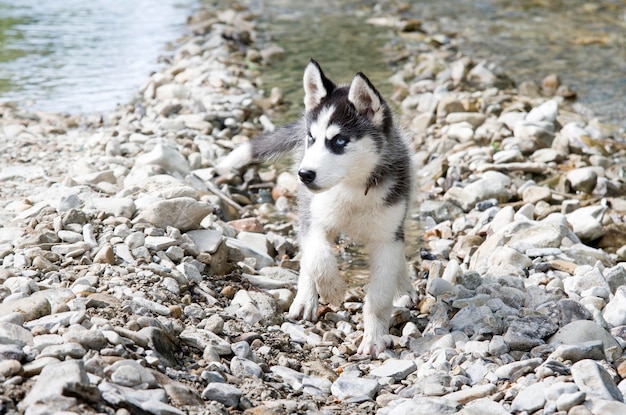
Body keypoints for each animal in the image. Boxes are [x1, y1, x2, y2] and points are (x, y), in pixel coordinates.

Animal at [219, 59, 414, 358]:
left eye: (339, 141)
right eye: (311, 138)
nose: (305, 175)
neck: (352, 189)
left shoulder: (387, 237)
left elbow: (380, 295)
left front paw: (374, 337)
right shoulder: (315, 220)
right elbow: (318, 257)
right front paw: (333, 290)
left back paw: (403, 287)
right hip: (305, 207)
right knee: (309, 255)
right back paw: (305, 298)